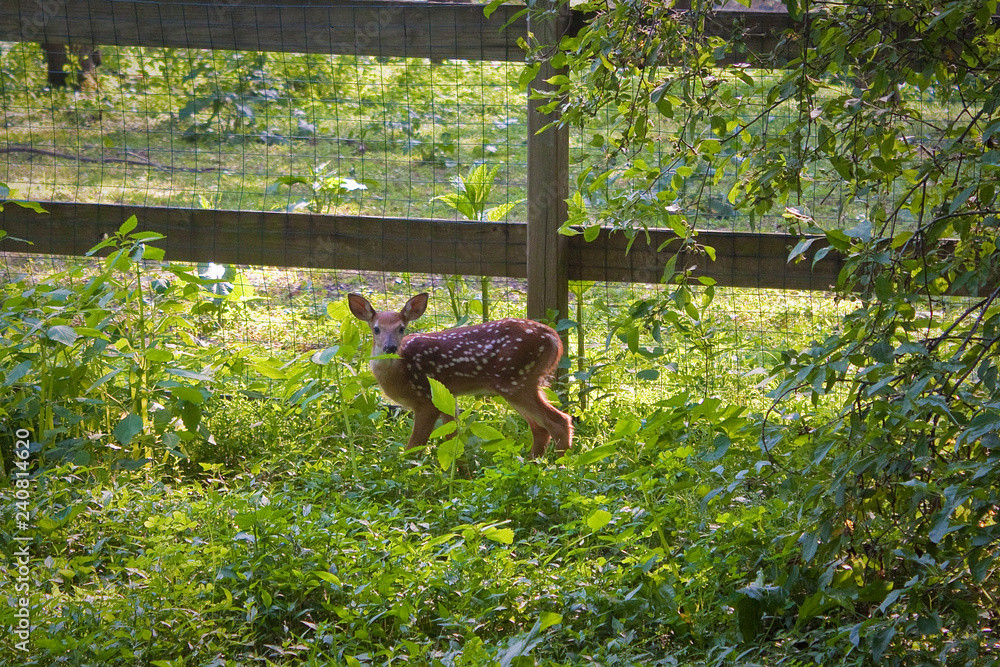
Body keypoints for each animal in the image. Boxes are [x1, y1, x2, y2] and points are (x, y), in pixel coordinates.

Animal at [348, 292, 572, 459]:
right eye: (376, 329)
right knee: (541, 428)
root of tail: (554, 338)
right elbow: (453, 438)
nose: (390, 347)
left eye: (401, 328)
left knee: (559, 422)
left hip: (516, 381)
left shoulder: (426, 400)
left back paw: (559, 467)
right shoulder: (448, 395)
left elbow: (414, 446)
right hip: (519, 384)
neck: (401, 373)